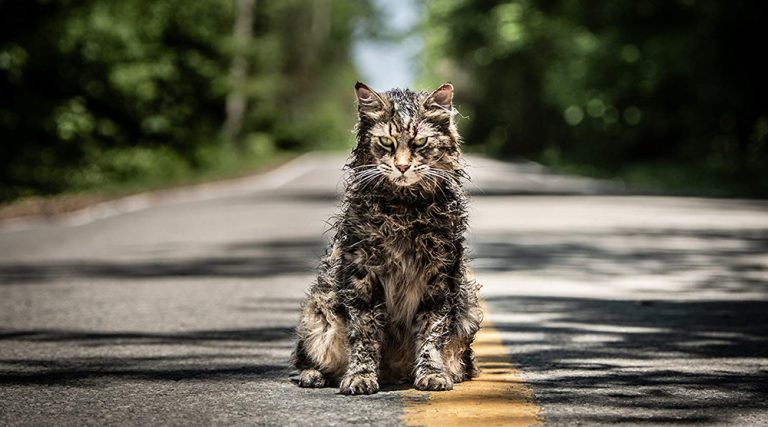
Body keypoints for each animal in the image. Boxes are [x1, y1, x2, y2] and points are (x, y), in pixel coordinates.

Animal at [292, 82, 480, 396]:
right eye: (386, 142)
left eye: (420, 143)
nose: (402, 167)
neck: (403, 210)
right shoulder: (362, 275)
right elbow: (365, 334)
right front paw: (361, 376)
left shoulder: (440, 277)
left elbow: (432, 332)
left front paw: (432, 373)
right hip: (318, 314)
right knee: (307, 358)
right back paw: (314, 375)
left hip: (468, 310)